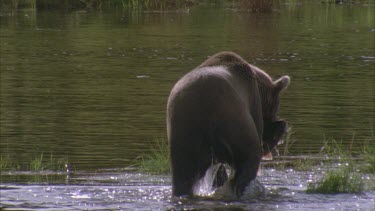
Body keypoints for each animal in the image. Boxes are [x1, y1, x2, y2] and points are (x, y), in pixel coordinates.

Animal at [167, 51, 290, 198]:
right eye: (275, 108)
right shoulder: (253, 104)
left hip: (185, 129)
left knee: (183, 172)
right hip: (234, 121)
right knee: (248, 159)